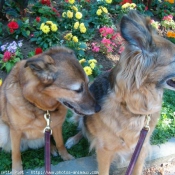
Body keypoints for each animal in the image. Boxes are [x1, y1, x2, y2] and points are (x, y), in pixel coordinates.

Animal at [0, 46, 100, 175]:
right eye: (78, 90)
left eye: (88, 84)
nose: (98, 108)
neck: (41, 106)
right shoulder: (15, 131)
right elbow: (16, 154)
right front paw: (17, 170)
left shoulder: (57, 126)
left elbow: (60, 142)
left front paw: (66, 157)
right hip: (3, 132)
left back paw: (51, 148)